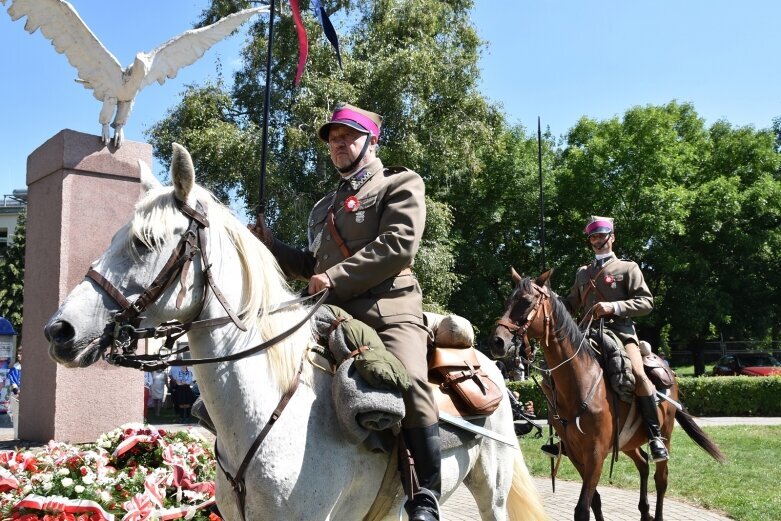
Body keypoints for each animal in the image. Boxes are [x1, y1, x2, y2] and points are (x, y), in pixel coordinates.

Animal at [490, 270, 724, 516]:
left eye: (526, 302)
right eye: (507, 302)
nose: (497, 341)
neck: (579, 382)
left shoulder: (595, 454)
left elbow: (583, 508)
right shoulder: (576, 453)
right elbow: (595, 501)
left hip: (665, 435)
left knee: (661, 479)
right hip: (627, 441)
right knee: (643, 463)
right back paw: (644, 510)